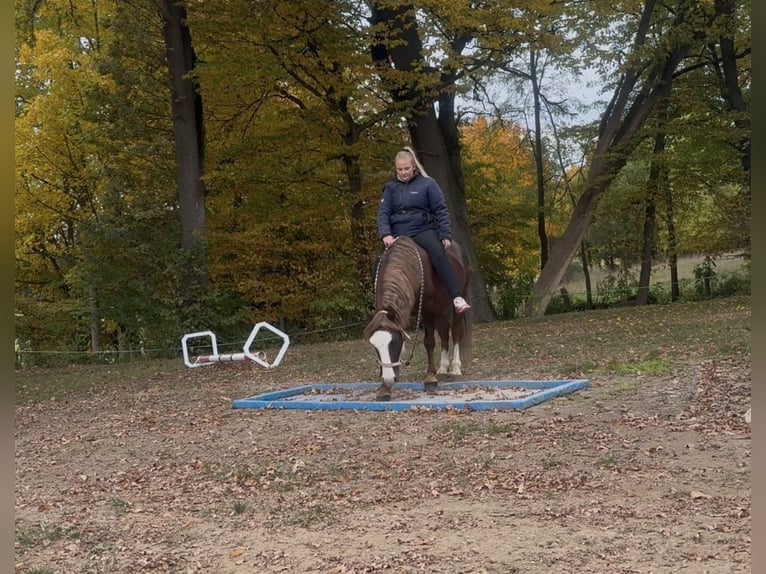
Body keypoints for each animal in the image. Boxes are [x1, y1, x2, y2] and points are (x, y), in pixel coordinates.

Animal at [363, 235, 473, 401]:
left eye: (395, 342)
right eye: (374, 345)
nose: (388, 379)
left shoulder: (427, 311)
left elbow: (429, 342)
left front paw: (430, 379)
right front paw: (384, 389)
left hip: (458, 300)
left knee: (455, 332)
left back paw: (455, 368)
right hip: (441, 310)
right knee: (444, 333)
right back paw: (443, 368)